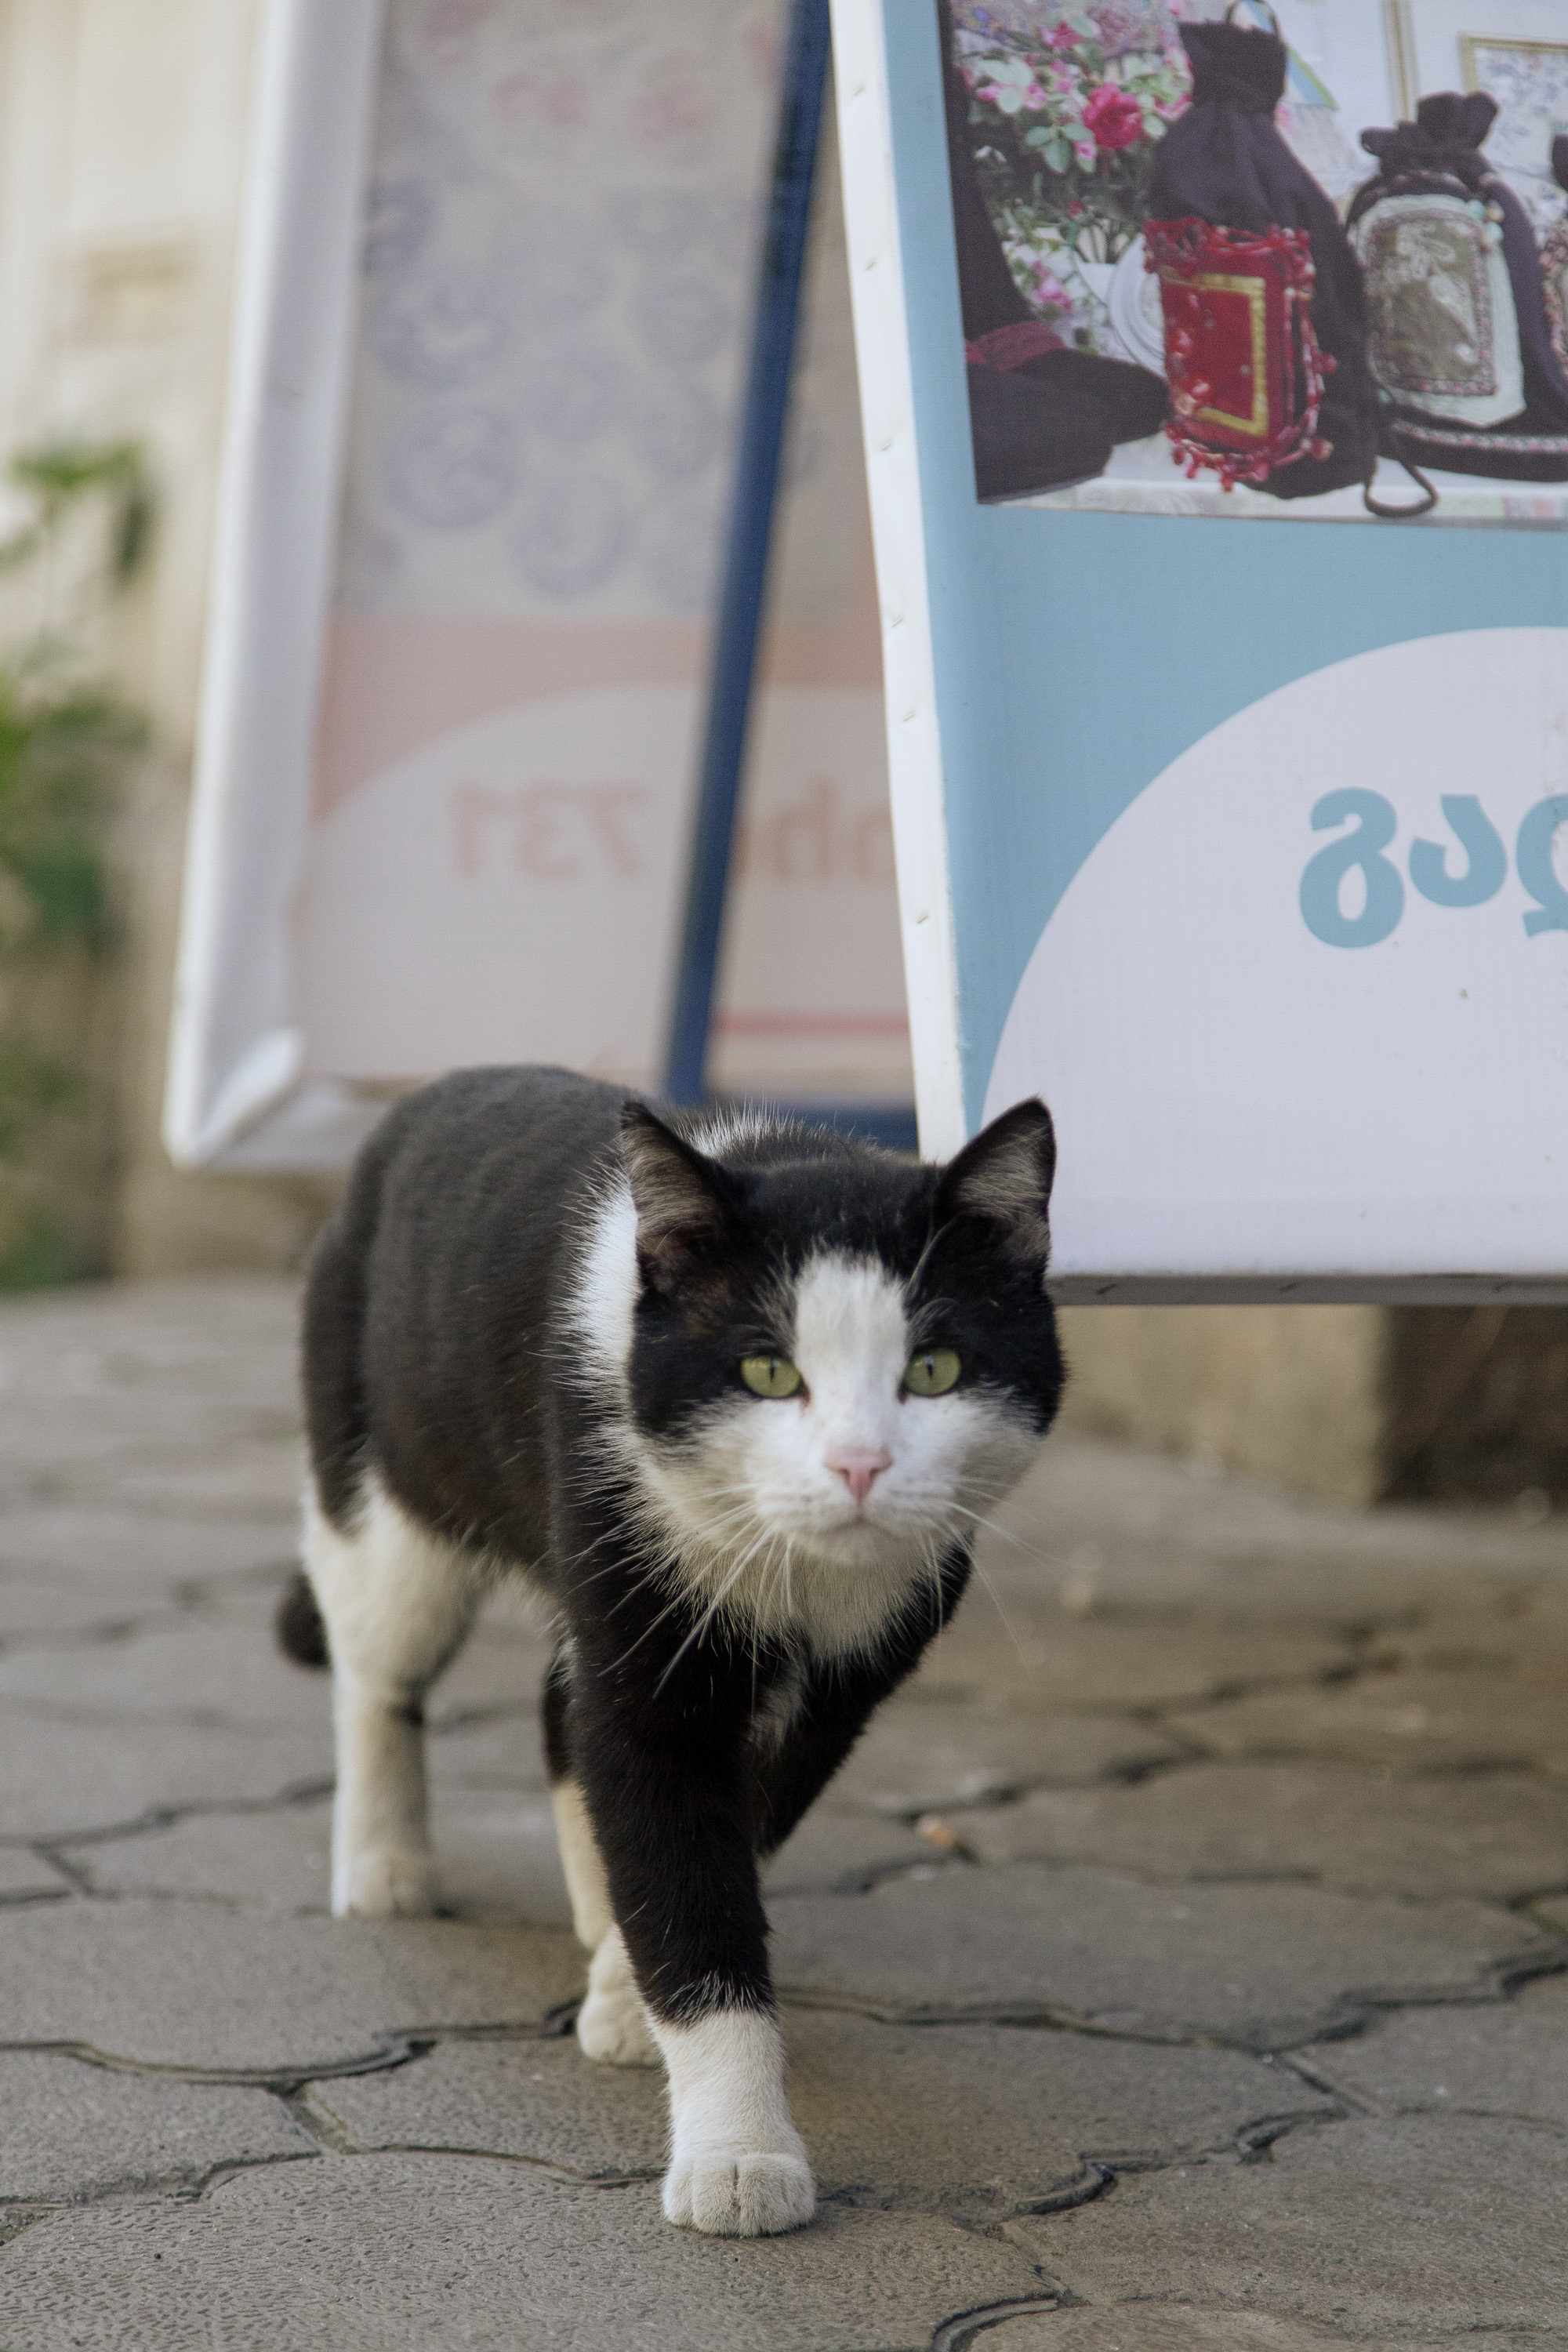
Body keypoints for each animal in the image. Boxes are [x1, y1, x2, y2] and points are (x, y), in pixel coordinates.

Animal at [278, 1064, 1063, 2237]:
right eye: (767, 1370)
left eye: (934, 1367)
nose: (860, 1465)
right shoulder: (637, 1593)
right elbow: (681, 1863)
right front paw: (739, 2158)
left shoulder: (848, 1683)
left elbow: (727, 1828)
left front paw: (622, 1988)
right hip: (391, 1476)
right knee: (378, 1662)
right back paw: (384, 1865)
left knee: (558, 1712)